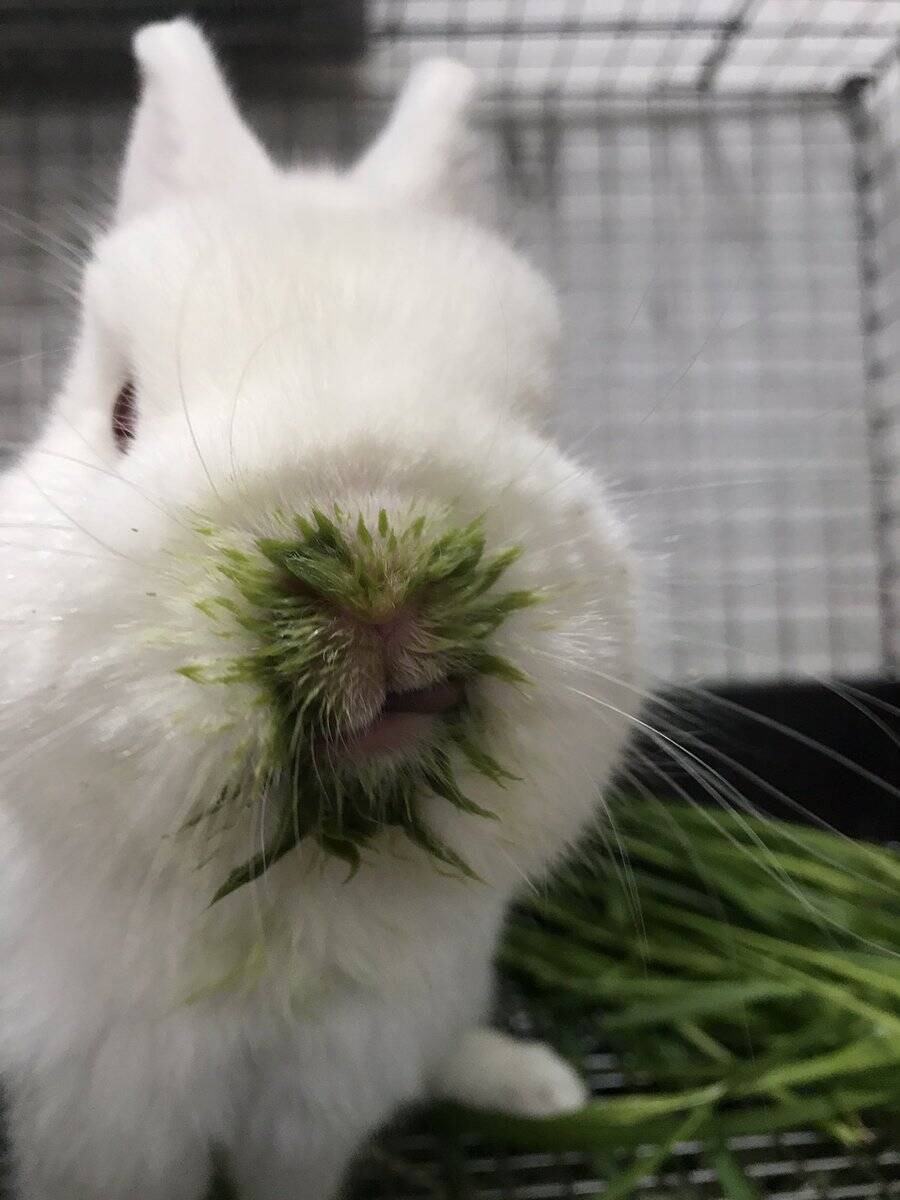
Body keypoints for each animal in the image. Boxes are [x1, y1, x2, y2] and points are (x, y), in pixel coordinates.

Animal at [0, 21, 633, 1200]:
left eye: (535, 417)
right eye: (123, 413)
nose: (384, 580)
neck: (286, 914)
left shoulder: (324, 1099)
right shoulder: (105, 1120)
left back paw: (540, 1085)